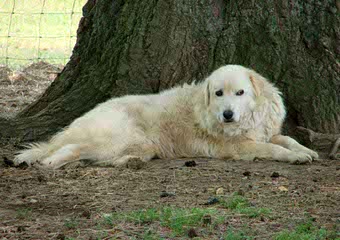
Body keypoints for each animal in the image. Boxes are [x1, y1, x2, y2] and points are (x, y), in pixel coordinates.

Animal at [14, 64, 318, 169]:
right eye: (218, 93)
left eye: (240, 92)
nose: (228, 114)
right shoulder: (240, 146)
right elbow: (273, 149)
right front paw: (295, 157)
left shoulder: (265, 132)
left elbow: (286, 139)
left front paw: (305, 150)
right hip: (120, 137)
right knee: (67, 150)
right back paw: (50, 162)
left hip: (139, 145)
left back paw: (129, 162)